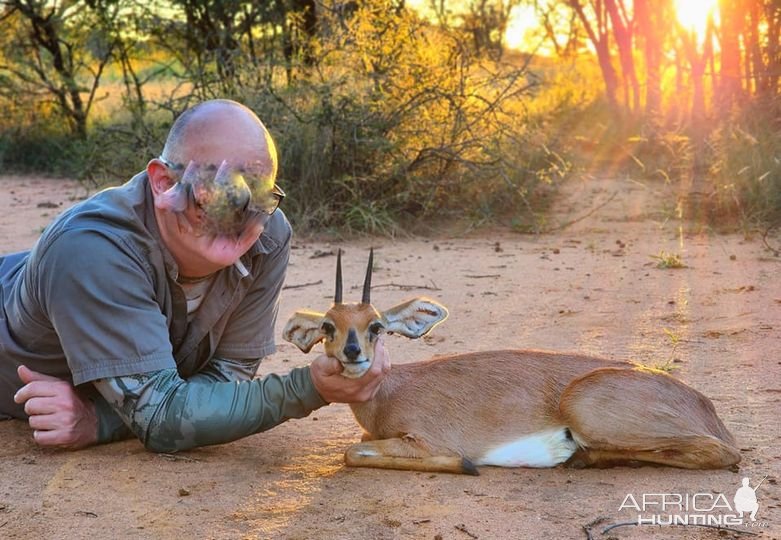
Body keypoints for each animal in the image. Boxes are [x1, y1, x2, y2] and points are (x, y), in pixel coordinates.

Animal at [284, 251, 740, 474]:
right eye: (328, 326)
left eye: (376, 325)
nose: (353, 352)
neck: (390, 394)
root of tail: (704, 406)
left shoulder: (427, 440)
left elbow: (351, 452)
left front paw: (468, 465)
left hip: (589, 411)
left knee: (722, 454)